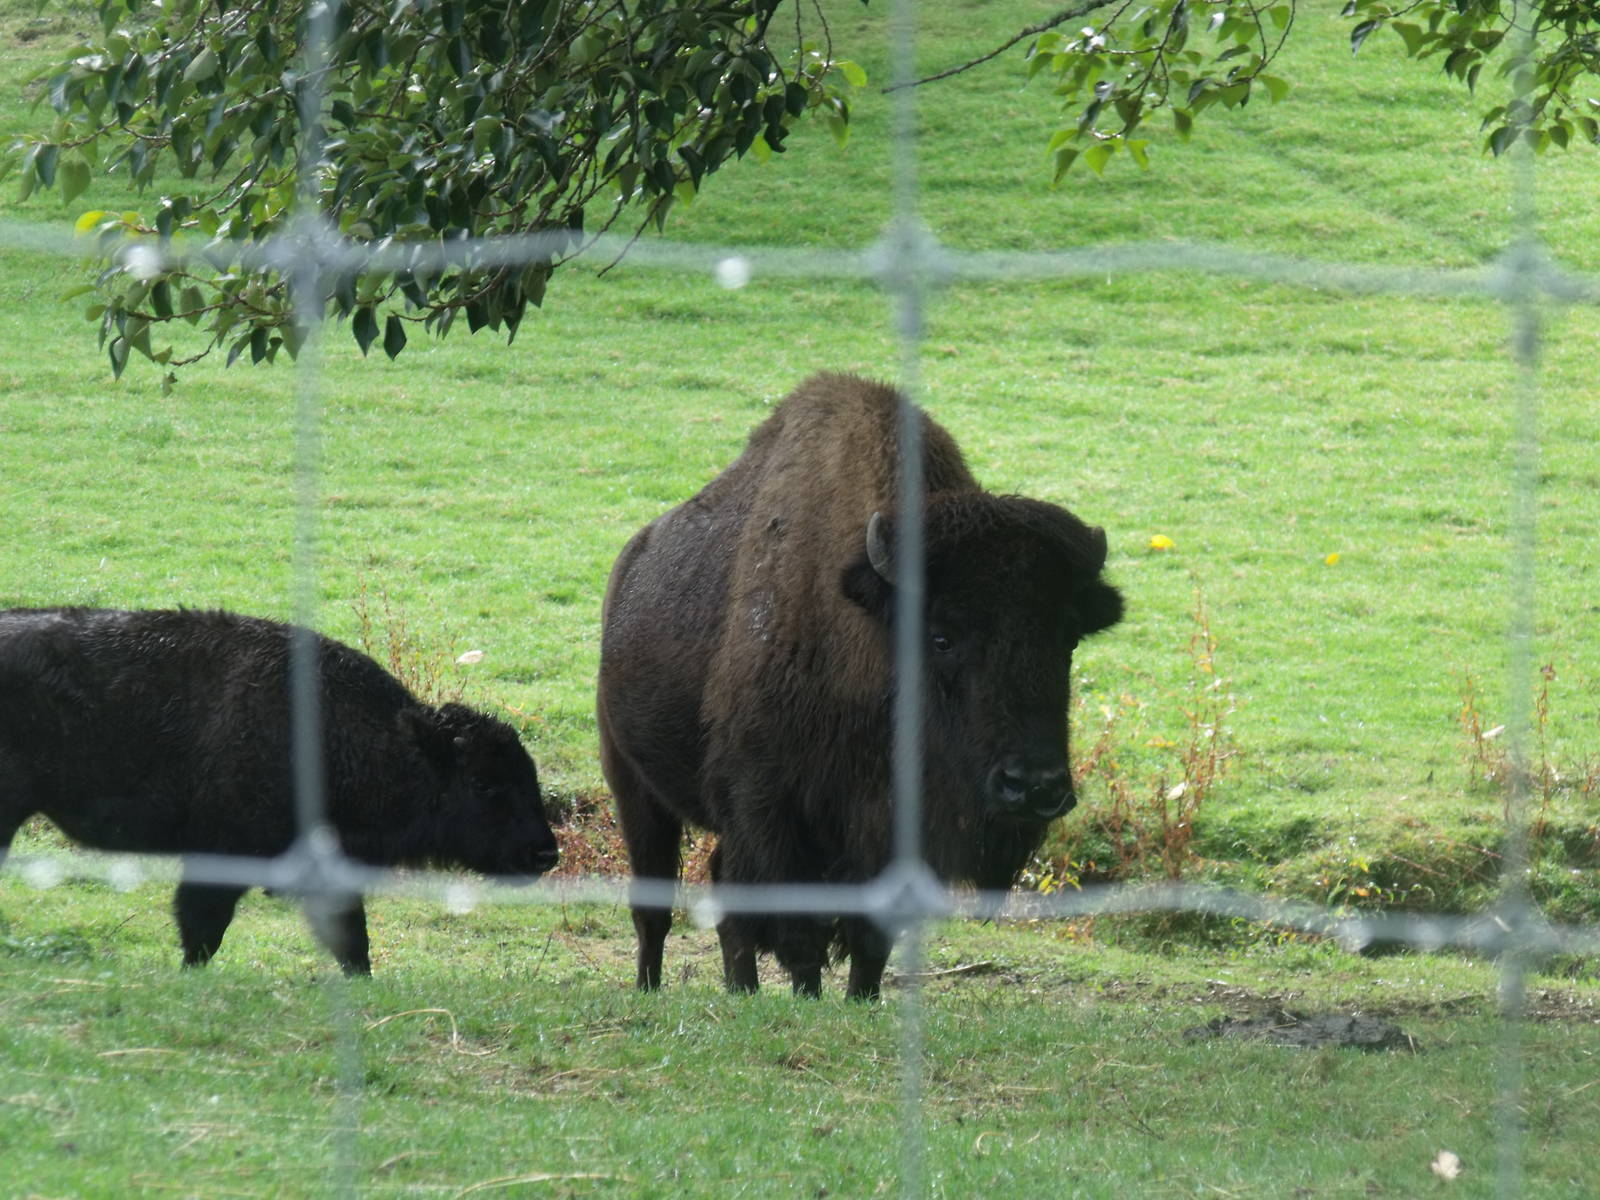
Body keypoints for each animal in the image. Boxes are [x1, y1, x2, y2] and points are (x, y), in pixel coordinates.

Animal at [597, 372, 1122, 999]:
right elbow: (798, 934)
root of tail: (628, 565)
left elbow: (870, 938)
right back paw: (652, 987)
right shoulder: (770, 811)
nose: (1034, 787)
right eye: (941, 636)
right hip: (633, 783)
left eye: (1068, 639)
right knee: (656, 903)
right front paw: (808, 997)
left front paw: (861, 1000)